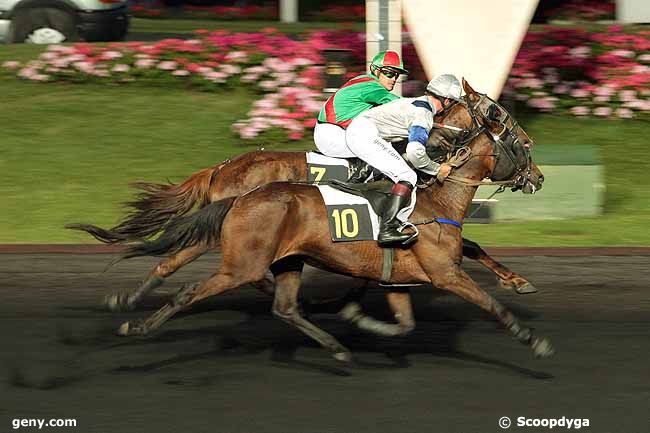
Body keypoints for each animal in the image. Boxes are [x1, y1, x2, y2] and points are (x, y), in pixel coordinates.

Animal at [111, 81, 552, 362]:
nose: (538, 177)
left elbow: (465, 249)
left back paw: (129, 299)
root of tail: (222, 167)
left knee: (179, 260)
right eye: (497, 113)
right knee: (216, 268)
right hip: (233, 239)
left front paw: (517, 280)